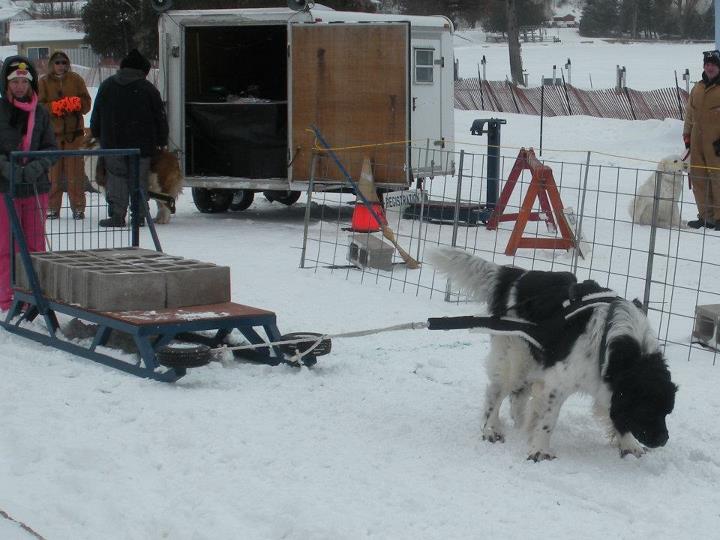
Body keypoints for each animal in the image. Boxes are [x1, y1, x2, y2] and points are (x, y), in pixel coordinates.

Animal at [430, 248, 676, 460]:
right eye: (647, 409)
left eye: (667, 411)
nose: (664, 440)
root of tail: (515, 275)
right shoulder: (558, 383)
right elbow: (549, 419)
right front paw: (539, 450)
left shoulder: (604, 383)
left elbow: (616, 414)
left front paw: (629, 446)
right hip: (515, 359)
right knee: (496, 392)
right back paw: (491, 429)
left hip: (532, 360)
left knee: (517, 396)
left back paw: (521, 424)